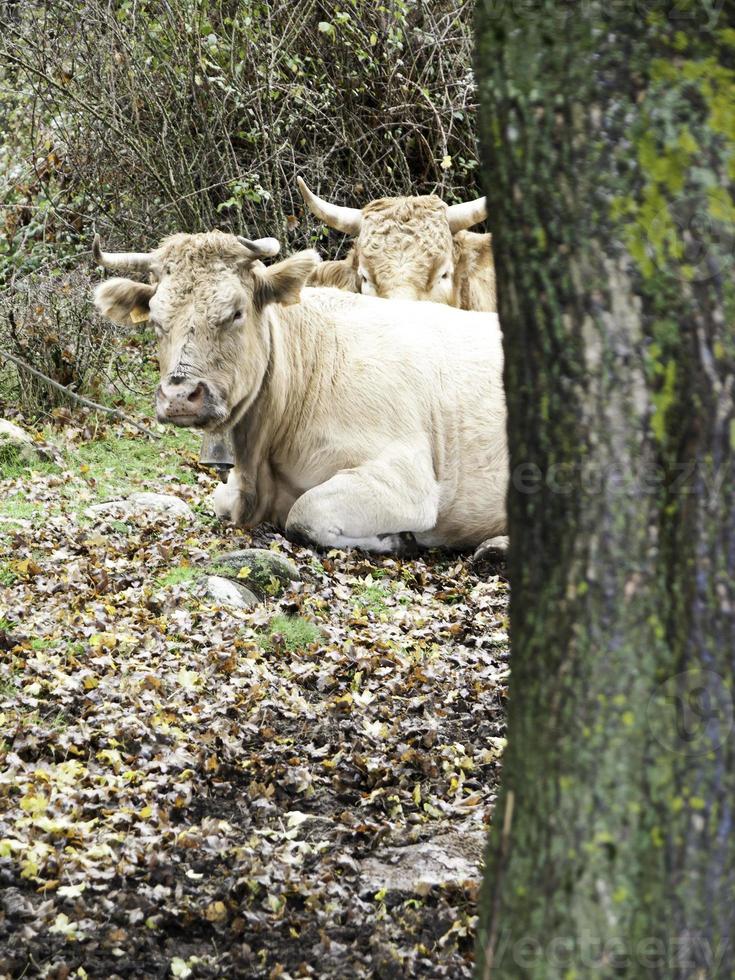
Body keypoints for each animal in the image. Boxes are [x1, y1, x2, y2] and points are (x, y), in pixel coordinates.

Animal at [92, 230, 508, 552]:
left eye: (236, 312)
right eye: (156, 320)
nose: (180, 397)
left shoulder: (408, 480)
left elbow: (305, 514)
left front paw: (396, 539)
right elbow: (221, 499)